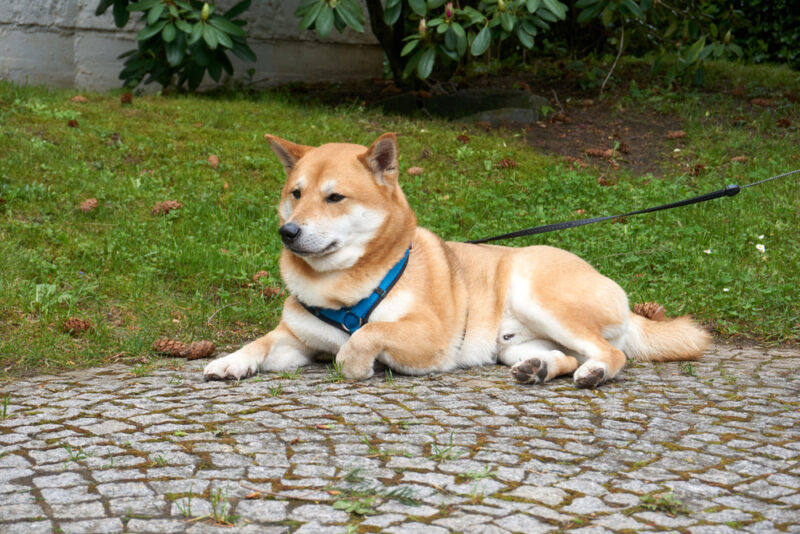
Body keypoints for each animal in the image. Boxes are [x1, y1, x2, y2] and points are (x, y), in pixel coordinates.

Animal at [203, 134, 708, 390]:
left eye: (335, 197)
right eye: (296, 193)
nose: (288, 233)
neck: (340, 286)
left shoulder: (431, 338)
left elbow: (365, 336)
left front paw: (359, 363)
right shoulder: (295, 338)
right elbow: (259, 344)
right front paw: (230, 361)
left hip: (538, 293)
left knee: (612, 353)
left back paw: (596, 373)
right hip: (512, 345)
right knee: (562, 355)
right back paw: (542, 369)